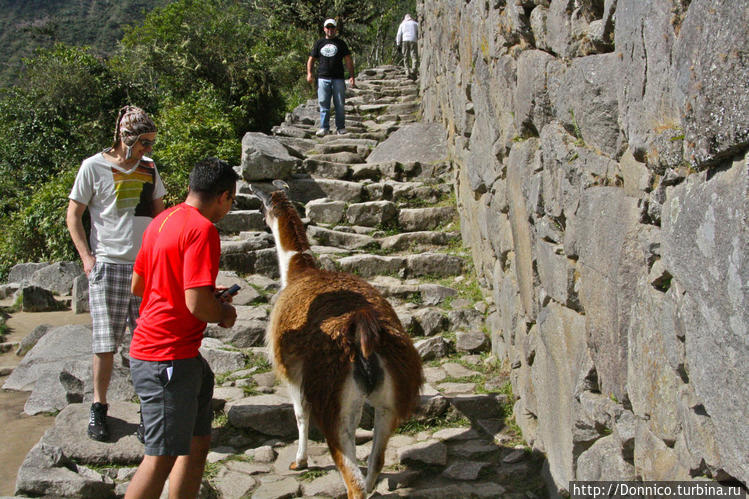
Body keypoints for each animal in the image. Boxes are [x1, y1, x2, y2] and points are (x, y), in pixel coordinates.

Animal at [249, 181, 424, 498]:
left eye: (260, 206)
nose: (261, 221)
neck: (298, 271)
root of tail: (362, 330)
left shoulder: (294, 374)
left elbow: (300, 414)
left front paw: (299, 461)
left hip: (331, 396)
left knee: (353, 477)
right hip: (386, 400)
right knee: (376, 460)